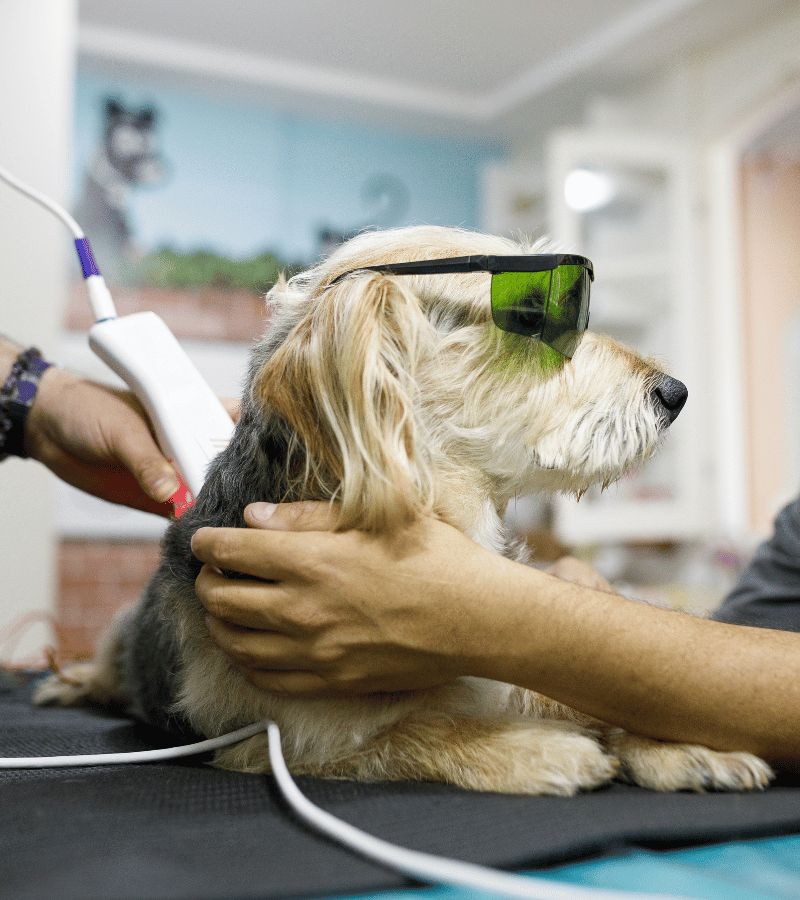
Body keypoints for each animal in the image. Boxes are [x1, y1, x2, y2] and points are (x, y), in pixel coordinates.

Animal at [39, 225, 776, 796]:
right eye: (530, 315)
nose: (674, 392)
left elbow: (586, 687)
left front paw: (677, 746)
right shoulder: (284, 733)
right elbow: (420, 726)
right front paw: (533, 747)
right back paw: (74, 681)